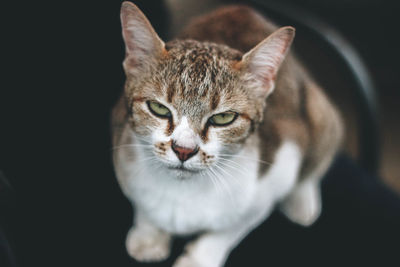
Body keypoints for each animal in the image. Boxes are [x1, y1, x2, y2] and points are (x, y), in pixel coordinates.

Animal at [111, 2, 344, 267]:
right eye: (158, 108)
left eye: (223, 118)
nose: (183, 149)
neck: (182, 191)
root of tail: (242, 9)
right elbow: (140, 201)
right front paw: (148, 234)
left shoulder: (277, 168)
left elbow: (231, 229)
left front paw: (200, 258)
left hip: (319, 111)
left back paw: (302, 200)